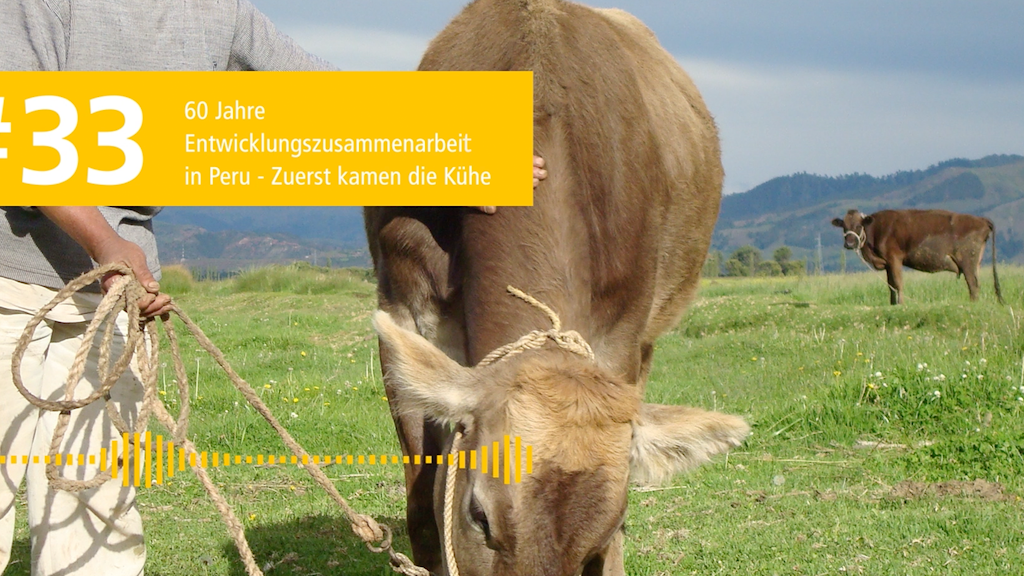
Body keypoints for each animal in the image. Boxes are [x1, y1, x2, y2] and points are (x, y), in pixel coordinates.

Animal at [831, 207, 999, 305]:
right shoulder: (887, 263)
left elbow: (898, 283)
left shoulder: (894, 258)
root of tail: (981, 219)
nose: (849, 243)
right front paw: (892, 304)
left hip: (968, 261)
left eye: (859, 225)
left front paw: (901, 304)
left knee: (973, 285)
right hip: (975, 263)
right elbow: (891, 285)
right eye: (844, 226)